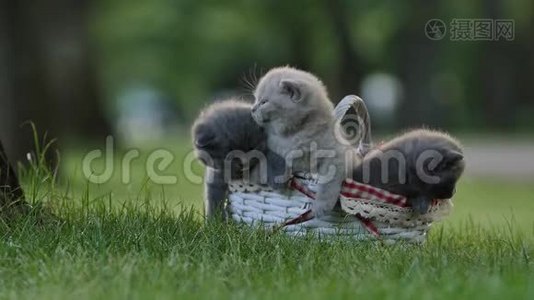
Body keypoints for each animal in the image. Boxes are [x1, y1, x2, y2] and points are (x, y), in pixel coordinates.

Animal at [251, 67, 356, 218]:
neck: (295, 134)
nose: (252, 109)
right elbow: (273, 159)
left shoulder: (340, 154)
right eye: (255, 99)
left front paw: (321, 206)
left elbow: (328, 179)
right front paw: (277, 178)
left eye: (264, 102)